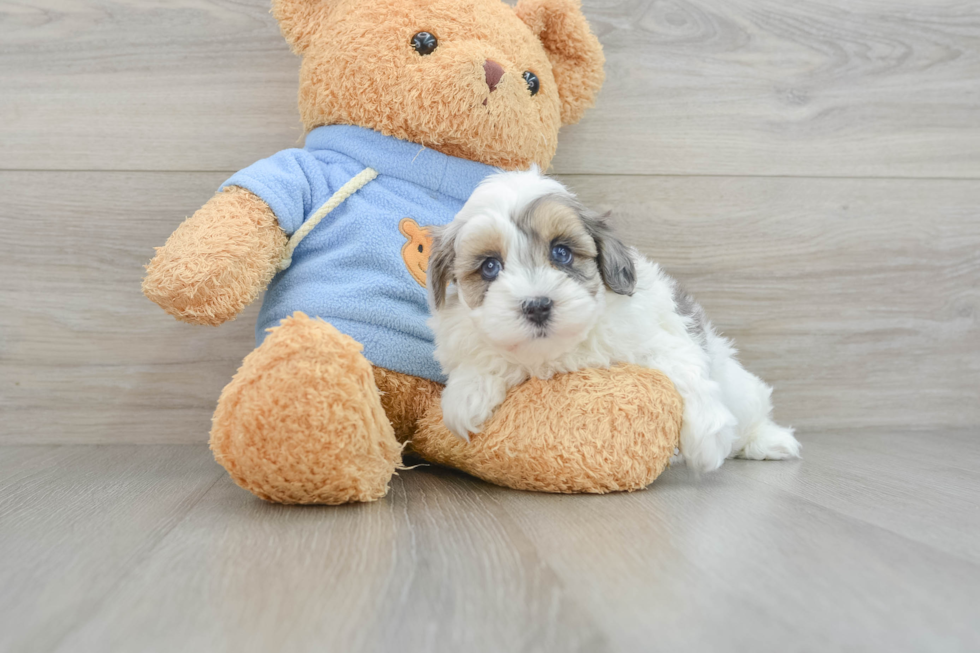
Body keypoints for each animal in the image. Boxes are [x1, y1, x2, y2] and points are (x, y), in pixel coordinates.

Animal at [428, 168, 804, 474]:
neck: (562, 351)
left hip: (740, 388)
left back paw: (769, 441)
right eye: (490, 266)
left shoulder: (659, 339)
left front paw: (706, 440)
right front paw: (466, 395)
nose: (537, 306)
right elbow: (485, 358)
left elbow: (686, 371)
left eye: (561, 252)